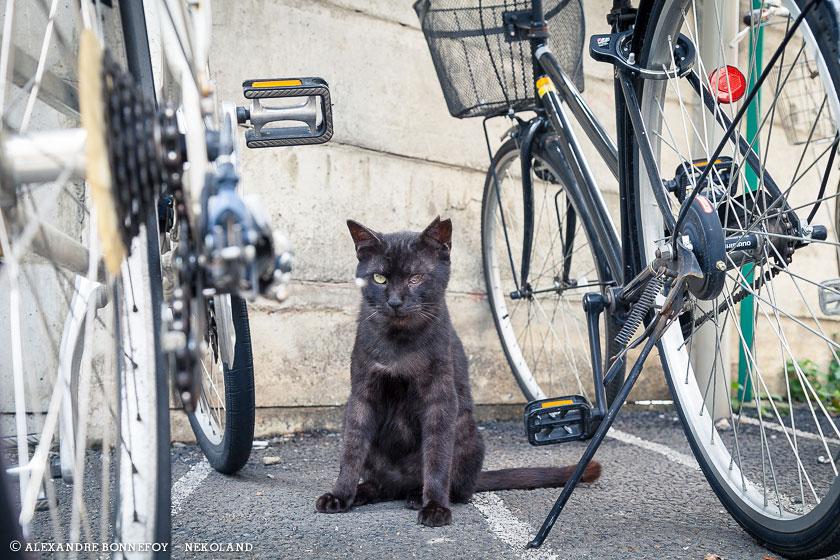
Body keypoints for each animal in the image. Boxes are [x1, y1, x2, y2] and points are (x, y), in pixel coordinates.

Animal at [314, 217, 596, 528]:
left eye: (416, 278)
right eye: (379, 278)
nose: (395, 302)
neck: (398, 343)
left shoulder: (440, 397)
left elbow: (437, 456)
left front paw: (435, 506)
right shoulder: (362, 393)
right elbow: (351, 449)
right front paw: (340, 494)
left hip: (467, 434)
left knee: (457, 488)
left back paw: (418, 495)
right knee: (381, 485)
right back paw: (364, 492)